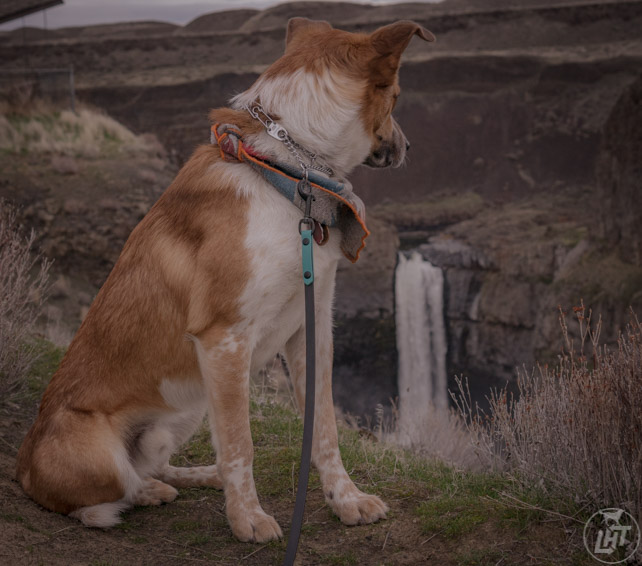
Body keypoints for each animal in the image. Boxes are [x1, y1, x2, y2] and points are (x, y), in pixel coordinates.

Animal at [16, 16, 436, 540]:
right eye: (396, 96)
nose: (409, 146)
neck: (285, 175)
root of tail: (22, 468)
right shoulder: (224, 340)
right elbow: (241, 444)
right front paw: (248, 519)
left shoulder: (311, 328)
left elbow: (324, 429)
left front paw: (346, 500)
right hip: (107, 449)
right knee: (104, 495)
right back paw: (146, 493)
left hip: (183, 411)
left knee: (154, 466)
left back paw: (191, 478)